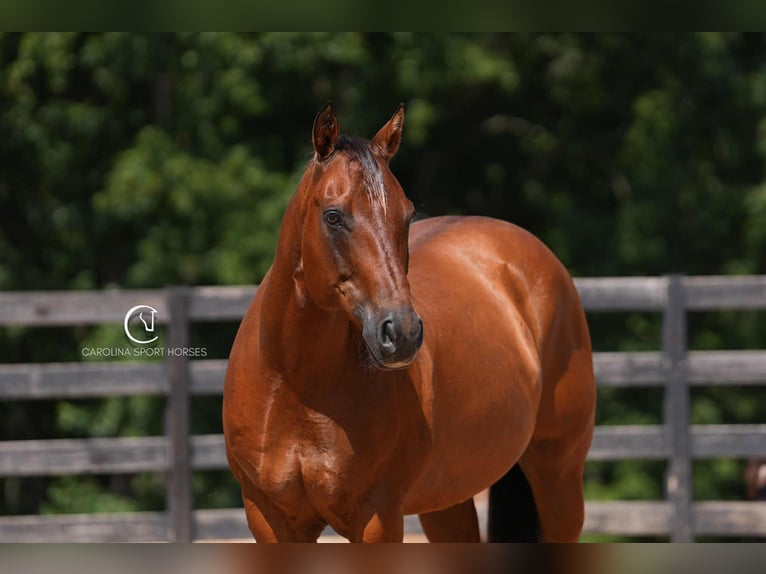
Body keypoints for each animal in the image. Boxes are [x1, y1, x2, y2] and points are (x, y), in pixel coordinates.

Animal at [223, 103, 596, 542]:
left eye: (407, 214)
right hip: (449, 500)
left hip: (559, 478)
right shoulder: (268, 517)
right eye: (333, 216)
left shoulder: (378, 516)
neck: (296, 384)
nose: (401, 333)